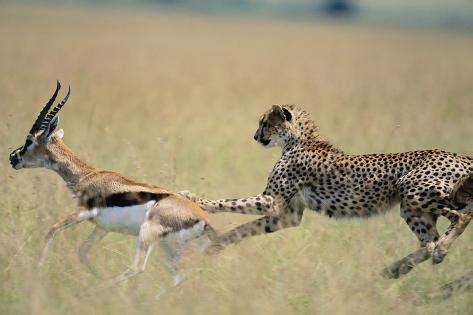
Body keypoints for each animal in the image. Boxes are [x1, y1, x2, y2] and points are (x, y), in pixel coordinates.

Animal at [183, 106, 470, 278]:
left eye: (265, 123)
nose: (255, 136)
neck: (297, 141)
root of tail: (460, 156)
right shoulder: (287, 215)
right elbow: (245, 229)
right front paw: (216, 245)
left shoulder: (271, 201)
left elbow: (231, 202)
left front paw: (195, 199)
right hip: (412, 207)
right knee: (428, 241)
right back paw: (395, 269)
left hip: (414, 189)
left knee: (461, 217)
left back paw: (440, 251)